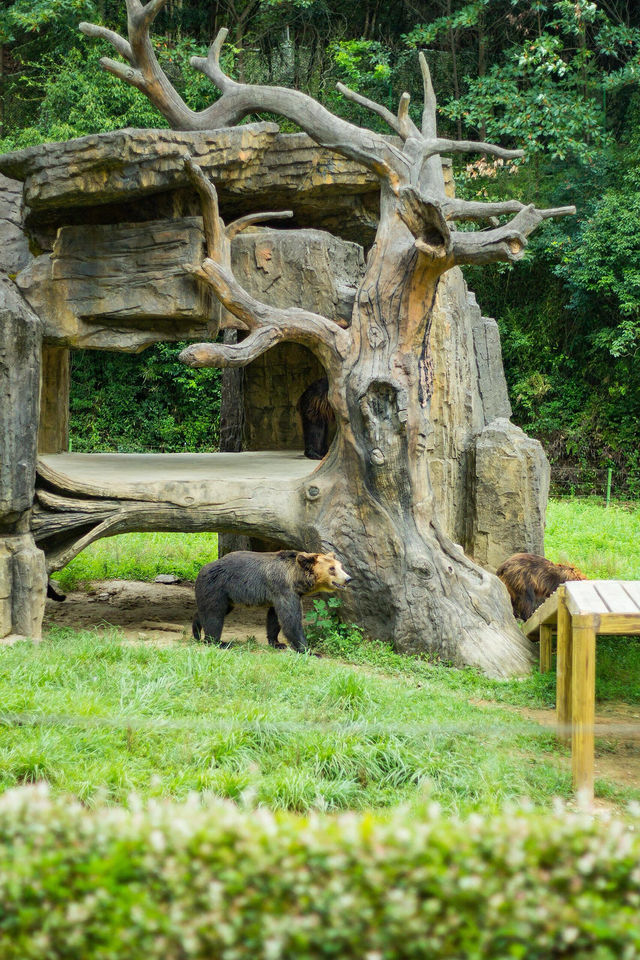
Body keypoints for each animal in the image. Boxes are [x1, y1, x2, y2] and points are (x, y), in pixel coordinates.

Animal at [192, 548, 352, 652]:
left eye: (340, 566)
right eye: (331, 569)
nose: (348, 578)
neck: (296, 579)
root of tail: (202, 569)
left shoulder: (281, 594)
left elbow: (275, 617)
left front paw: (277, 642)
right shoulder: (284, 588)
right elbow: (291, 620)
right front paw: (308, 650)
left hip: (227, 596)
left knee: (210, 611)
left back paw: (196, 631)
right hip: (217, 587)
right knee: (214, 614)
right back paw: (218, 642)